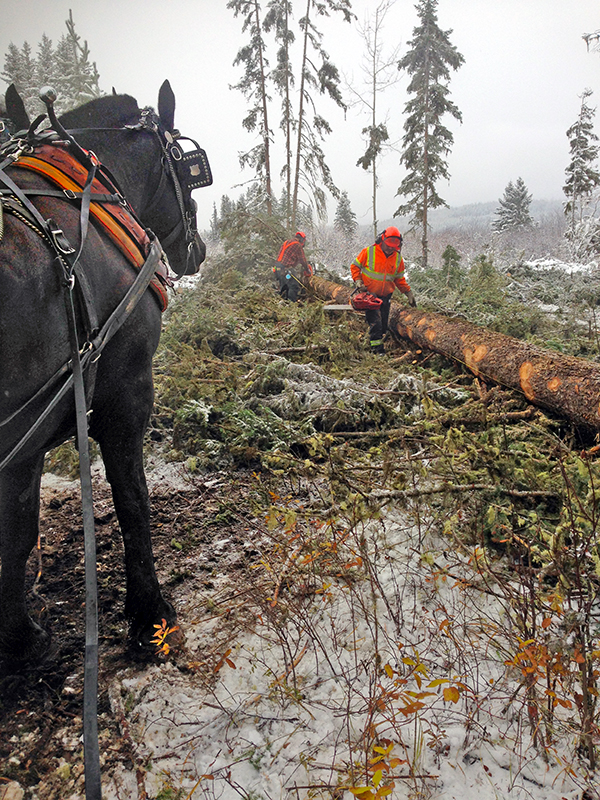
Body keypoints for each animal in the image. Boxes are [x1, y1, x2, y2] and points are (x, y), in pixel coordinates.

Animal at [0, 81, 206, 664]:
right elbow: (130, 496)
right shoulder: (122, 392)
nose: (199, 249)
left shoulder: (26, 439)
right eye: (188, 171)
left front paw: (18, 635)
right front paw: (150, 613)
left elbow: (17, 533)